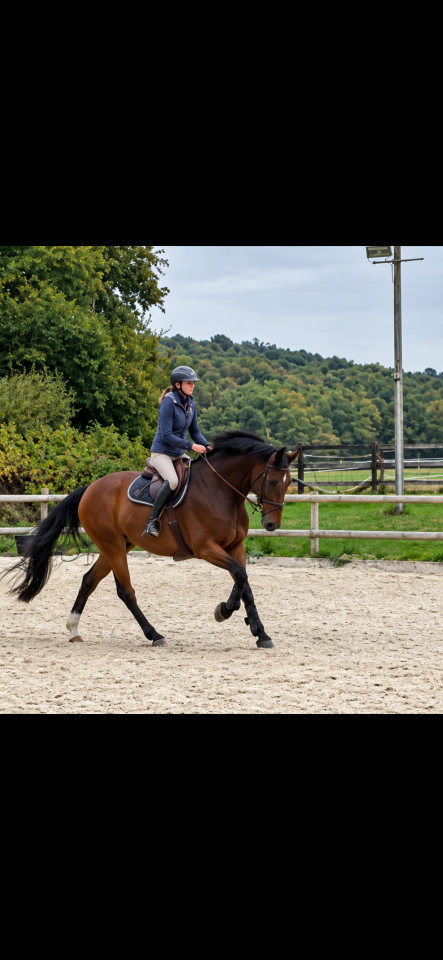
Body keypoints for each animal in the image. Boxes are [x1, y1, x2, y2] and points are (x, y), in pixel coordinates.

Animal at [5, 431, 299, 649]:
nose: (272, 525)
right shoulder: (206, 548)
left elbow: (244, 582)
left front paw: (260, 632)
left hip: (118, 546)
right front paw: (225, 611)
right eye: (272, 481)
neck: (221, 491)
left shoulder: (235, 547)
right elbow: (240, 575)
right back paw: (154, 635)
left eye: (288, 483)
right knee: (125, 591)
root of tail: (90, 488)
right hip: (113, 546)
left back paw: (74, 629)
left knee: (89, 580)